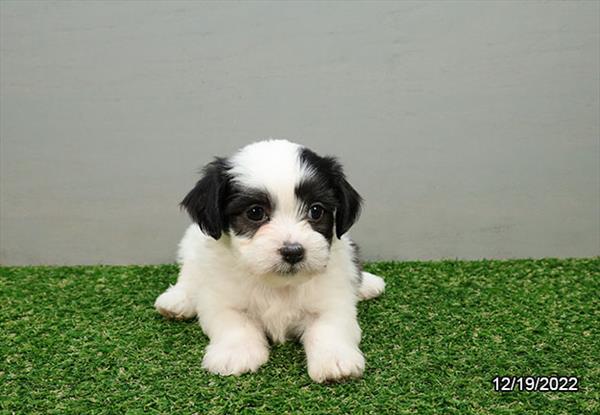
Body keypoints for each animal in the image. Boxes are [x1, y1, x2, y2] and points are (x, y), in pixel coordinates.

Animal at [152, 140, 382, 384]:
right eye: (255, 212)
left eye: (316, 210)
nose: (293, 252)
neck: (278, 285)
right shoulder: (221, 299)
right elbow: (234, 322)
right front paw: (236, 352)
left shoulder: (332, 300)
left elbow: (329, 326)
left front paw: (335, 359)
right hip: (192, 245)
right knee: (190, 274)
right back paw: (177, 300)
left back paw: (367, 284)